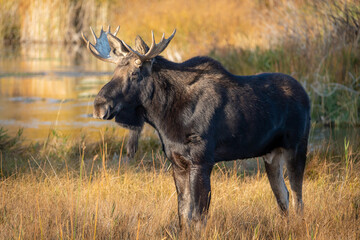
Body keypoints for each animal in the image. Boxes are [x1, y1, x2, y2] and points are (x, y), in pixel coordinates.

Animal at [81, 26, 310, 229]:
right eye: (114, 72)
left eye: (134, 74)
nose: (99, 106)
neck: (163, 117)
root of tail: (306, 95)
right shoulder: (178, 162)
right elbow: (183, 215)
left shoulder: (202, 161)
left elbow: (199, 217)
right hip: (271, 155)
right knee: (283, 197)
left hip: (297, 148)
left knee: (297, 198)